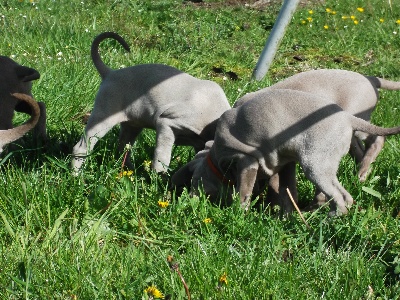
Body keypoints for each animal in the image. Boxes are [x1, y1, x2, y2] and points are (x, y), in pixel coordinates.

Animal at [70, 31, 230, 173]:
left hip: (132, 125)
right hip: (104, 115)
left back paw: (129, 172)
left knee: (122, 148)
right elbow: (161, 158)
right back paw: (77, 177)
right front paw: (158, 179)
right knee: (81, 147)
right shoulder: (166, 123)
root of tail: (110, 73)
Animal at [173, 88, 400, 216]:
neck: (217, 157)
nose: (189, 199)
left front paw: (238, 214)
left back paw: (325, 219)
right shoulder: (283, 162)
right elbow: (285, 189)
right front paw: (284, 214)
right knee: (342, 196)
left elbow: (244, 191)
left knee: (342, 198)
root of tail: (349, 118)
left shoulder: (247, 159)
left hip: (315, 163)